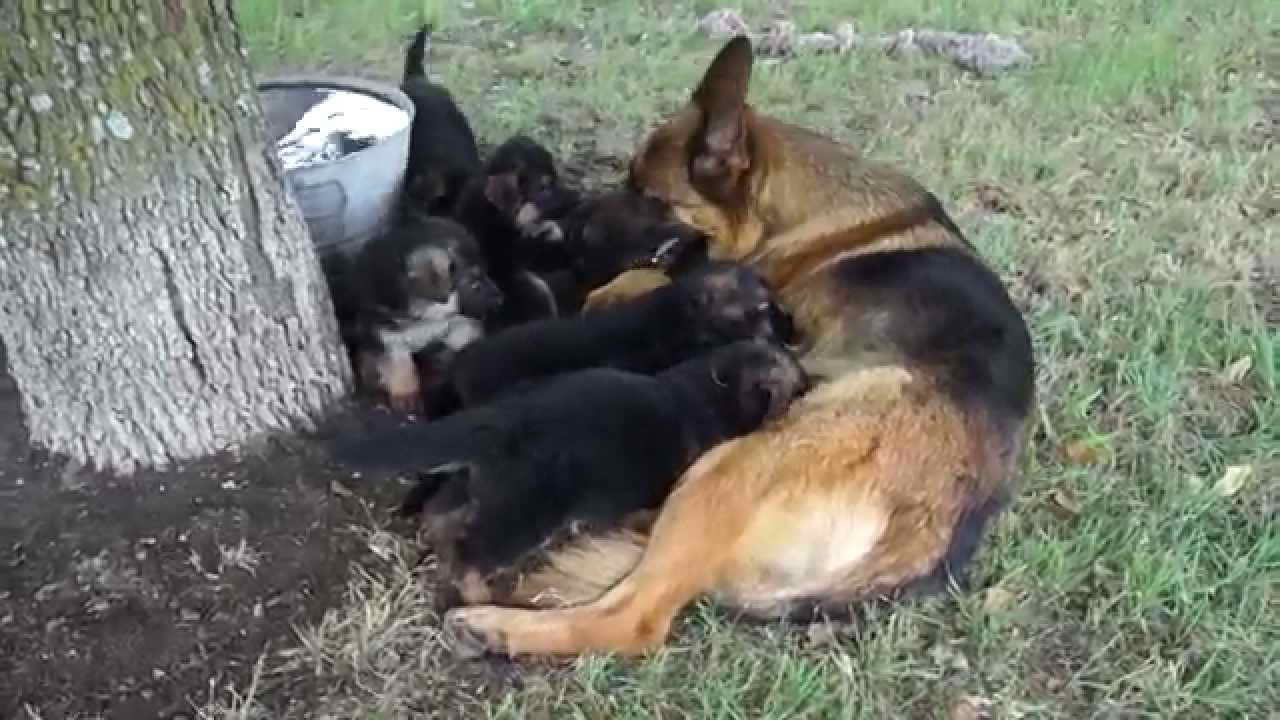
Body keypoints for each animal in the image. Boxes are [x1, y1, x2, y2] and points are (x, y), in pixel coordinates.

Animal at [325, 213, 504, 409]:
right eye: (474, 284)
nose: (501, 300)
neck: (426, 312)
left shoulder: (459, 324)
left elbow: (460, 342)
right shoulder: (387, 334)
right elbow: (398, 363)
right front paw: (405, 394)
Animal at [330, 338, 808, 607]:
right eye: (796, 384)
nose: (812, 381)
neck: (713, 387)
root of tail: (502, 417)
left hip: (486, 486)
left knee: (442, 514)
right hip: (526, 509)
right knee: (472, 550)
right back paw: (479, 596)